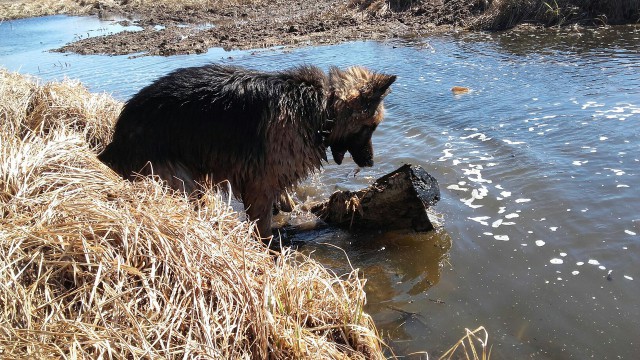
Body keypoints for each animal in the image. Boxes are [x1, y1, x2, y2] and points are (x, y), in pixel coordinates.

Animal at [99, 64, 396, 239]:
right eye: (371, 127)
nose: (370, 163)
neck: (323, 107)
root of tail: (119, 132)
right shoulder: (260, 185)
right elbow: (263, 228)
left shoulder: (271, 178)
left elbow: (287, 203)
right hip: (179, 180)